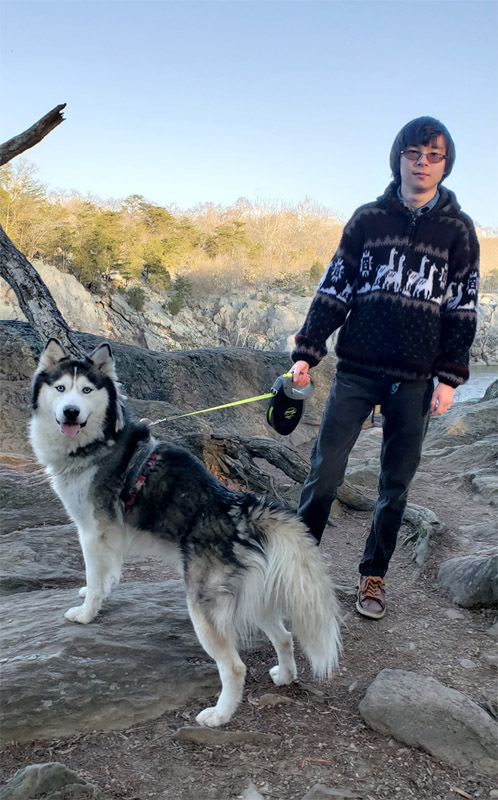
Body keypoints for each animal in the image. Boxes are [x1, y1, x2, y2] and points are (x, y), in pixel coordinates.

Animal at [30, 340, 342, 728]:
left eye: (86, 390)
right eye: (60, 388)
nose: (70, 412)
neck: (101, 442)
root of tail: (242, 509)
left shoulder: (93, 530)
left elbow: (95, 573)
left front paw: (87, 612)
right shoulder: (109, 535)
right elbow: (104, 575)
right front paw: (95, 593)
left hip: (203, 608)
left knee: (235, 667)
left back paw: (219, 715)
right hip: (255, 599)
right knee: (284, 637)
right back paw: (284, 676)